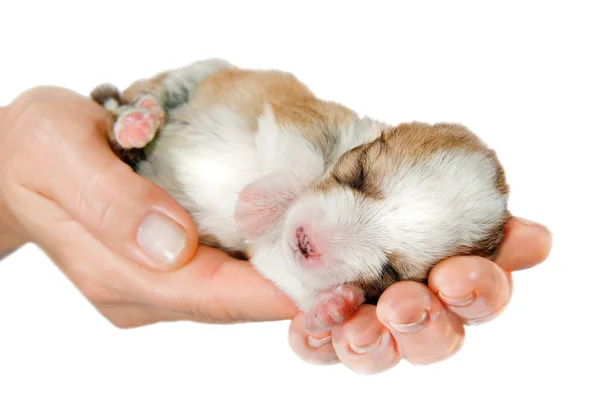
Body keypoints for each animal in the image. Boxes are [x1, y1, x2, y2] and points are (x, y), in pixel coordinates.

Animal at [90, 58, 510, 332]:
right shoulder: (304, 117)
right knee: (136, 100)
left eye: (391, 272)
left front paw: (334, 304)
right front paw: (259, 207)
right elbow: (303, 159)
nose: (307, 243)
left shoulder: (268, 252)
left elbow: (288, 272)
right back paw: (139, 121)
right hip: (201, 71)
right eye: (359, 175)